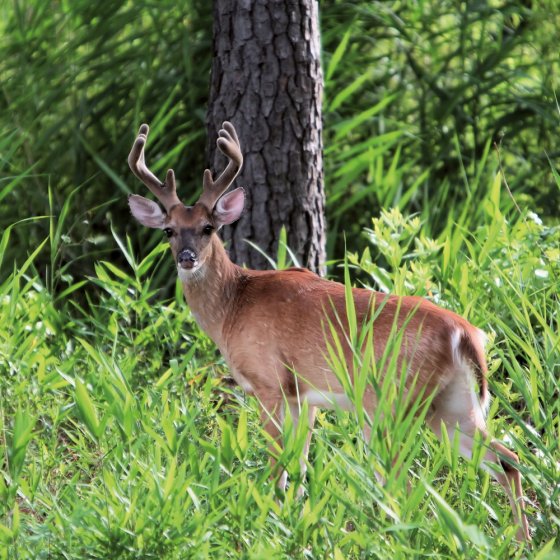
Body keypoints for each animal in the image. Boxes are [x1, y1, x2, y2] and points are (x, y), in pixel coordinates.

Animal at [129, 120, 532, 540]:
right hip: (453, 406)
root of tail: (466, 335)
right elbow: (298, 466)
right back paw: (521, 541)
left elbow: (276, 464)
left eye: (208, 227)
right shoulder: (304, 398)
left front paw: (268, 523)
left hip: (390, 401)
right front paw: (290, 520)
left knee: (402, 479)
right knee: (507, 459)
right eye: (169, 230)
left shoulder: (270, 384)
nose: (186, 258)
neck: (233, 307)